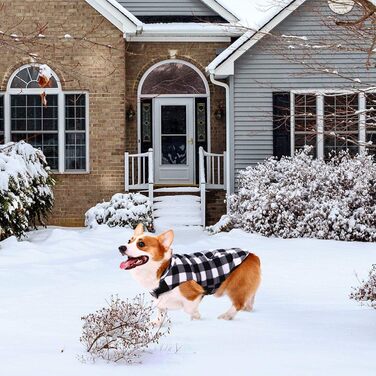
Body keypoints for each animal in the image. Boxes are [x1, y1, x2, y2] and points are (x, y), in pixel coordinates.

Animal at [119, 223, 260, 324]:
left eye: (141, 244)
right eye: (129, 241)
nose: (121, 247)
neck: (164, 270)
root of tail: (253, 255)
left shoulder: (194, 294)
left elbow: (189, 309)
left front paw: (196, 318)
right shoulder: (161, 300)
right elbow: (161, 313)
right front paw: (156, 324)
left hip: (236, 286)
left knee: (238, 304)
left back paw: (226, 316)